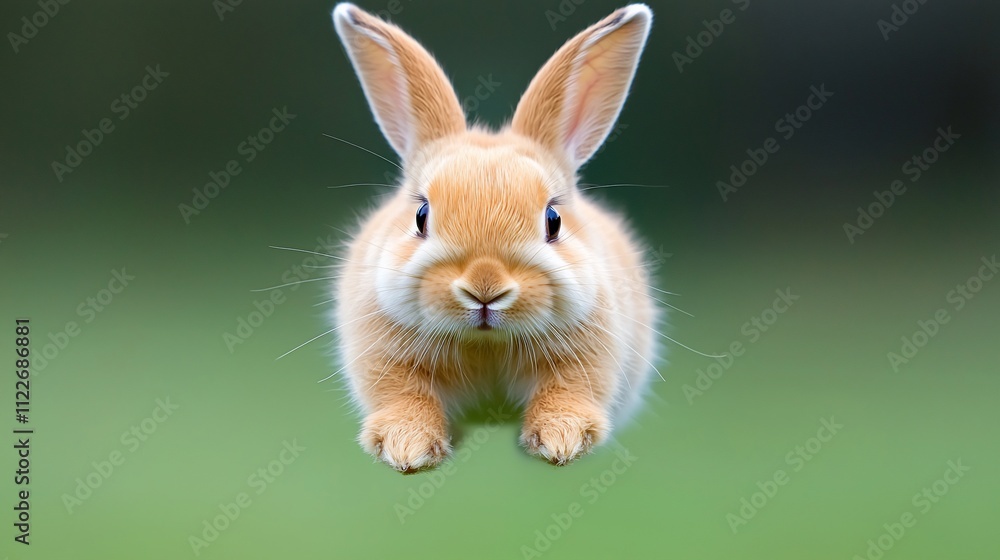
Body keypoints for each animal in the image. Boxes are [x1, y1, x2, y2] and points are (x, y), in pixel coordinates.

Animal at [331, 2, 658, 472]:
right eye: (421, 216)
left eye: (553, 220)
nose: (485, 288)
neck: (486, 344)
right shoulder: (385, 360)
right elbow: (404, 397)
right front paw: (407, 449)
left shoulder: (587, 361)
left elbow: (567, 393)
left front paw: (561, 442)